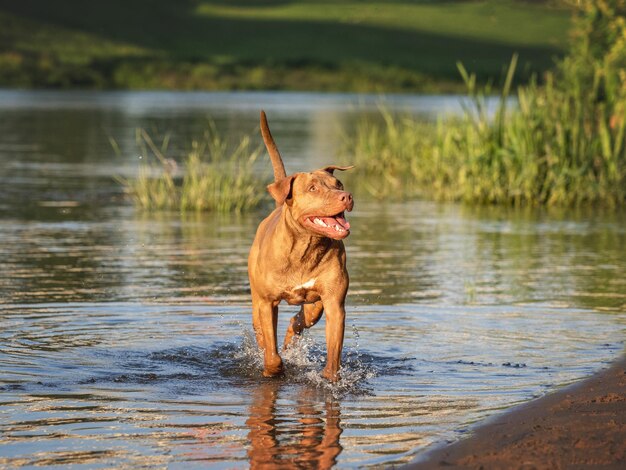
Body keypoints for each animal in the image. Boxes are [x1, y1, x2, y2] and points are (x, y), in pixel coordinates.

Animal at [249, 111, 356, 382]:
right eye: (313, 188)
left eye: (338, 184)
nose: (347, 196)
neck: (305, 247)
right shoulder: (267, 303)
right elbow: (271, 350)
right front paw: (273, 368)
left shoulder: (335, 305)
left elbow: (334, 351)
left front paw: (329, 378)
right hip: (256, 301)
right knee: (261, 330)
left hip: (316, 305)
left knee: (300, 319)